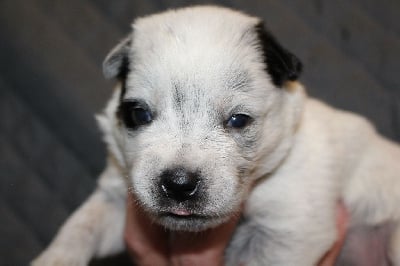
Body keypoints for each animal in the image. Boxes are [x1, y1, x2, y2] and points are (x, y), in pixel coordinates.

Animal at [32, 6, 400, 266]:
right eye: (139, 114)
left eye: (238, 120)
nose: (178, 183)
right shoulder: (116, 198)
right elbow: (79, 228)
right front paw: (52, 259)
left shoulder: (288, 231)